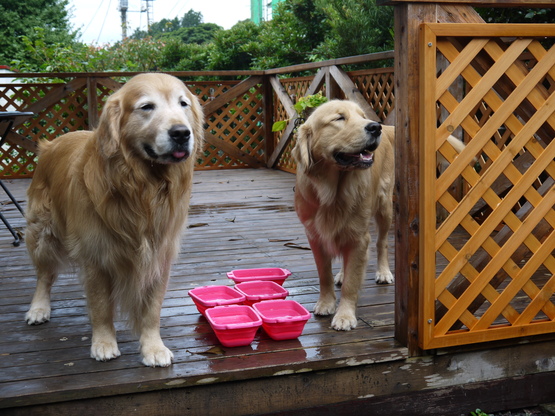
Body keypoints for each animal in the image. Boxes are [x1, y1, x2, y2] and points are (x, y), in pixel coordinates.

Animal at [25, 73, 204, 366]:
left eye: (183, 104)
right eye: (147, 107)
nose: (181, 133)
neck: (143, 188)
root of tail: (52, 143)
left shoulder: (159, 255)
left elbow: (152, 309)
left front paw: (153, 347)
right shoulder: (96, 256)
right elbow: (101, 306)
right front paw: (104, 343)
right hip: (42, 232)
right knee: (44, 274)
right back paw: (38, 308)